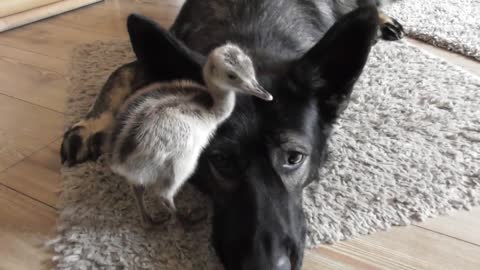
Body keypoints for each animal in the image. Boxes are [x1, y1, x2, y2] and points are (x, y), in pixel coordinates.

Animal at [61, 1, 404, 268]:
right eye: (221, 160)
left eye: (294, 158)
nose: (266, 267)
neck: (252, 38)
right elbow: (118, 72)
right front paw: (87, 126)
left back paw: (382, 20)